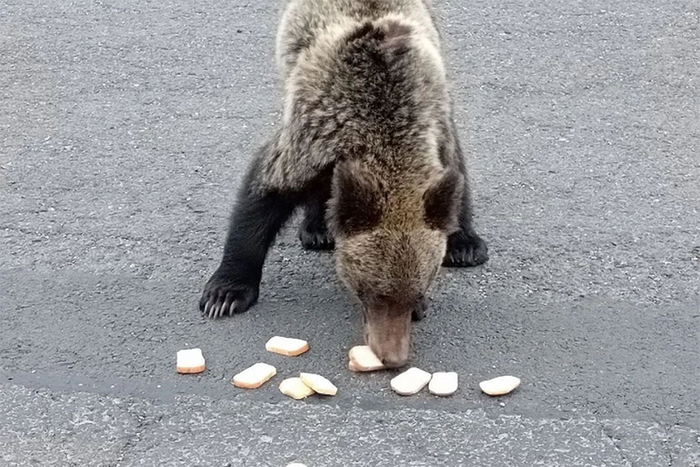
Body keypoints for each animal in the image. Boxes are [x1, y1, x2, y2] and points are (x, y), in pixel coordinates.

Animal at [199, 0, 488, 368]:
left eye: (418, 291)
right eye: (372, 292)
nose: (393, 357)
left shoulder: (435, 124)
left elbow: (453, 180)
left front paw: (461, 244)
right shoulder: (312, 135)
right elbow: (261, 199)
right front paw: (226, 292)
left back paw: (465, 245)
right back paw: (318, 227)